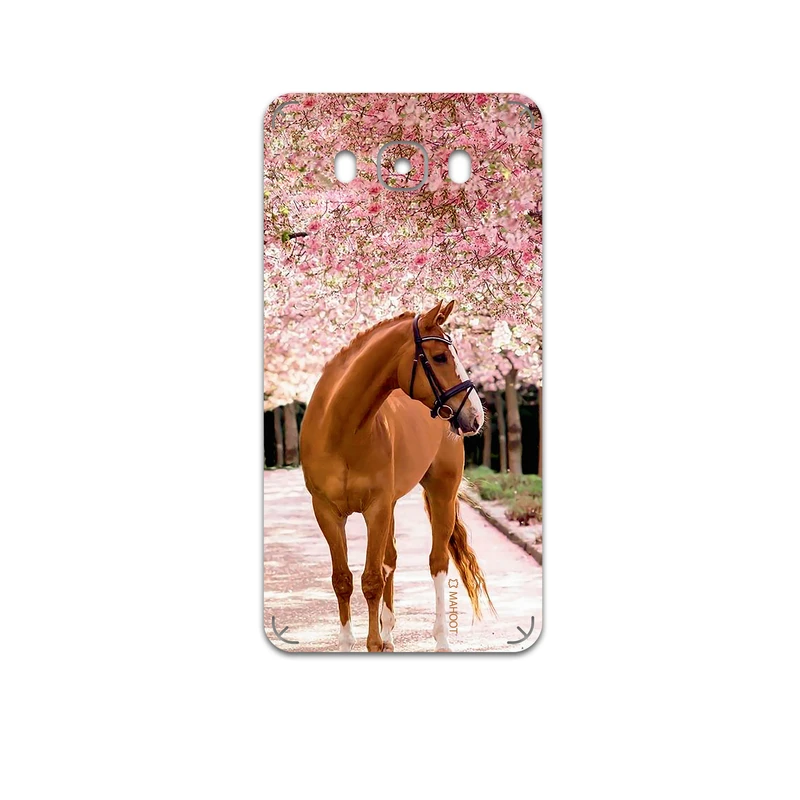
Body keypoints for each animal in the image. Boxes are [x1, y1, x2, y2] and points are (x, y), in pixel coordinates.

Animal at [299, 300, 493, 652]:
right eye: (440, 357)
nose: (475, 416)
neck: (340, 431)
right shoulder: (327, 512)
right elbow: (343, 579)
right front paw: (352, 642)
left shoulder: (376, 508)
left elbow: (372, 579)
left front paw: (373, 643)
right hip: (390, 506)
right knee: (390, 559)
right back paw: (390, 633)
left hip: (441, 493)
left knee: (437, 562)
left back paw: (441, 639)